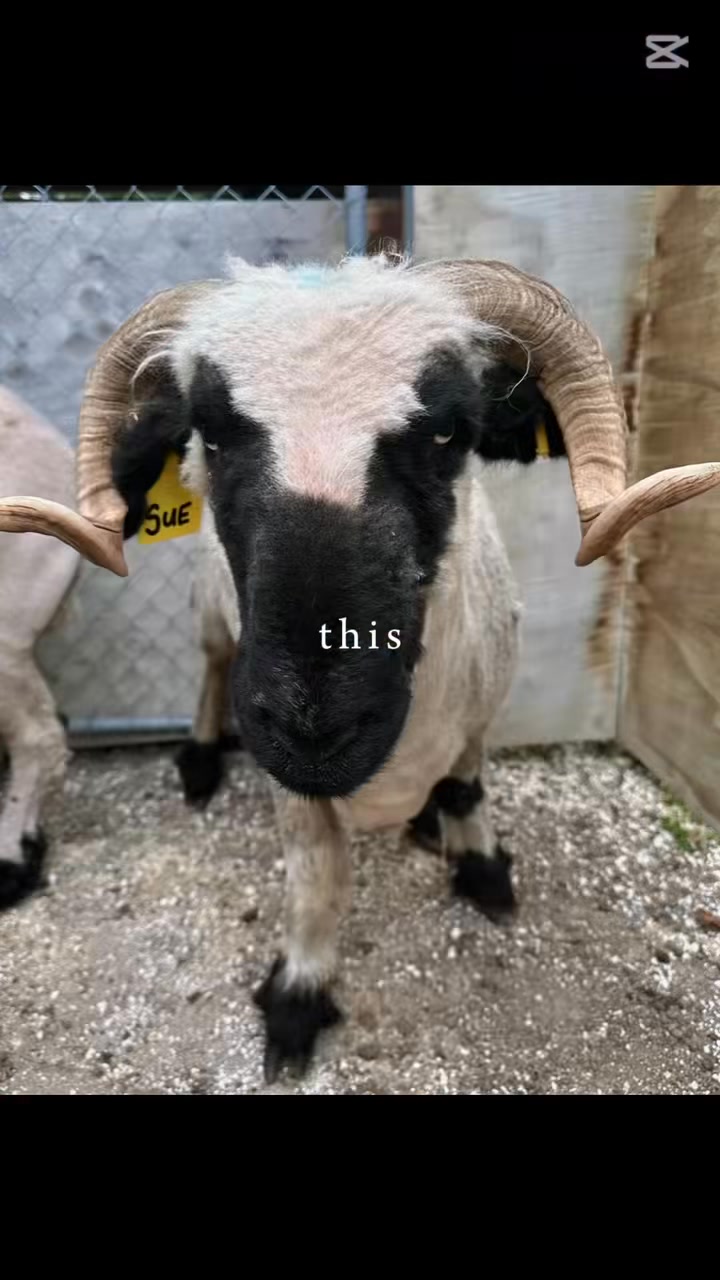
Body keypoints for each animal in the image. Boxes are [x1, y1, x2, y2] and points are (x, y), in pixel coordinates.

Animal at [2, 253, 718, 1081]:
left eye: (449, 431)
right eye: (212, 435)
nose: (314, 725)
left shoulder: (485, 707)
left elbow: (467, 788)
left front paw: (481, 870)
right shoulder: (288, 777)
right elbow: (318, 878)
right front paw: (298, 1000)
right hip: (210, 615)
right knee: (212, 669)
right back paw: (202, 764)